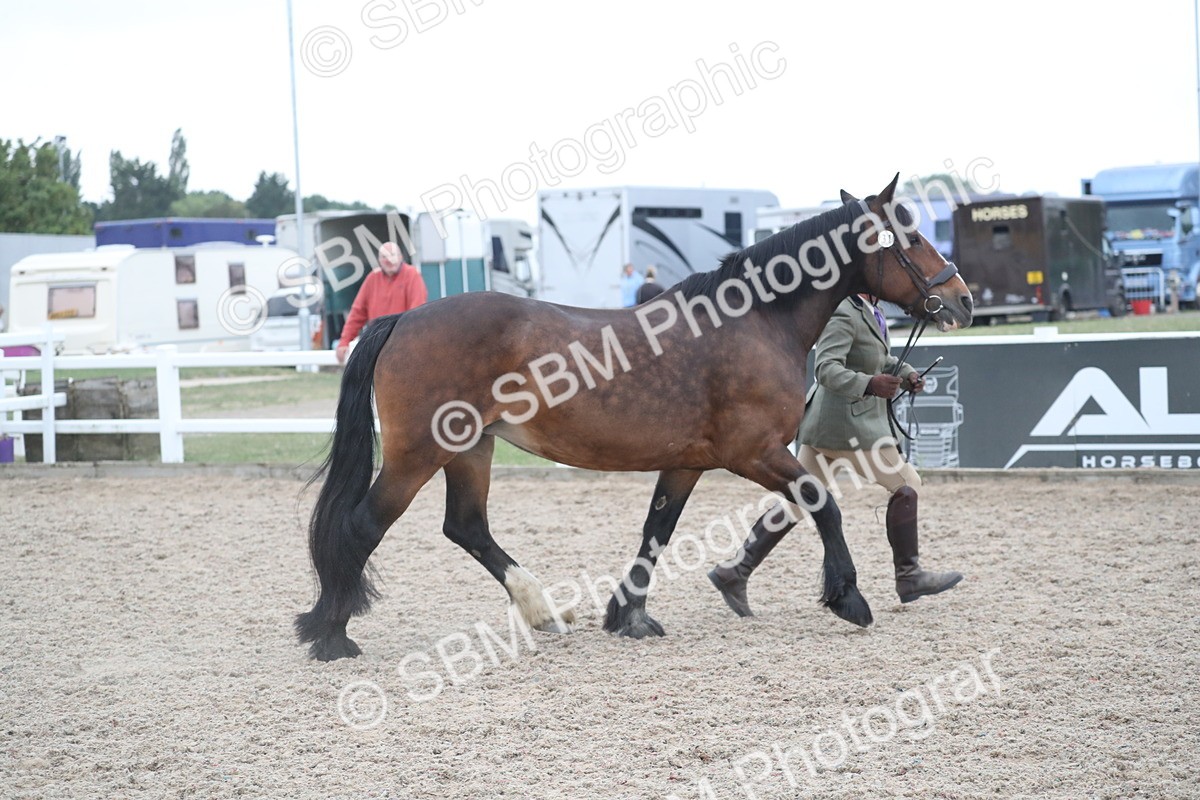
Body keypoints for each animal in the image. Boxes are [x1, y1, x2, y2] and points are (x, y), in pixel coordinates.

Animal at [295, 174, 974, 661]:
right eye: (911, 238)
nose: (962, 299)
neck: (755, 322)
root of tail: (404, 318)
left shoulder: (687, 463)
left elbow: (656, 532)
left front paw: (629, 615)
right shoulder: (753, 453)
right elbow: (822, 504)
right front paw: (849, 597)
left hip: (472, 449)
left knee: (466, 527)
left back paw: (544, 610)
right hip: (418, 454)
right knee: (364, 525)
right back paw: (332, 635)